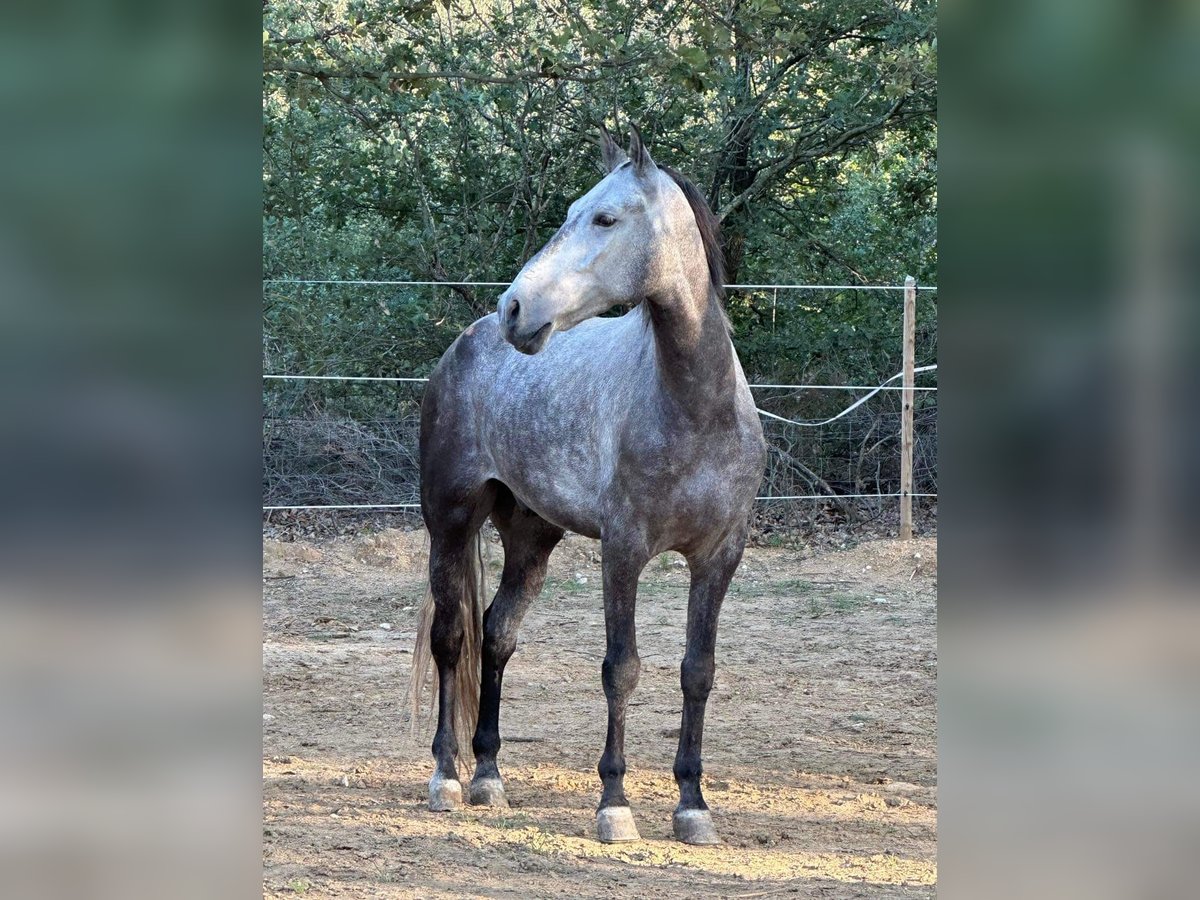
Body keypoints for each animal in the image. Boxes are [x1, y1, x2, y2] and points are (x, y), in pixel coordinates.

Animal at [410, 127, 768, 844]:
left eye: (604, 219)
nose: (515, 308)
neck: (696, 410)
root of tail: (466, 342)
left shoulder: (719, 557)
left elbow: (698, 672)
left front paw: (693, 805)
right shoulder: (622, 552)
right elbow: (620, 669)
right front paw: (614, 805)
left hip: (531, 535)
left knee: (497, 634)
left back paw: (489, 776)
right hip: (450, 521)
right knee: (452, 637)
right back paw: (447, 777)